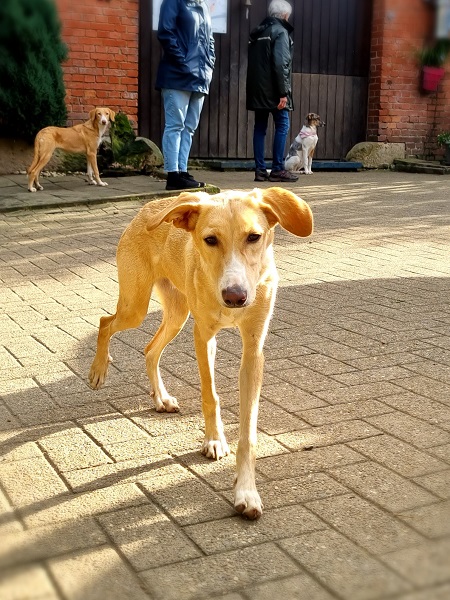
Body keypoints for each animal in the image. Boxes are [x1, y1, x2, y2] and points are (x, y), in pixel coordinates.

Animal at [88, 189, 312, 520]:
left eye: (254, 237)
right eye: (210, 240)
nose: (235, 297)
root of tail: (146, 208)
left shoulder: (253, 349)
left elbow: (248, 432)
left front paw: (246, 491)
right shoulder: (204, 337)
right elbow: (211, 396)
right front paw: (215, 440)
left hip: (177, 313)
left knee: (150, 349)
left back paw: (161, 398)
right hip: (136, 305)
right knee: (106, 323)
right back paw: (98, 370)